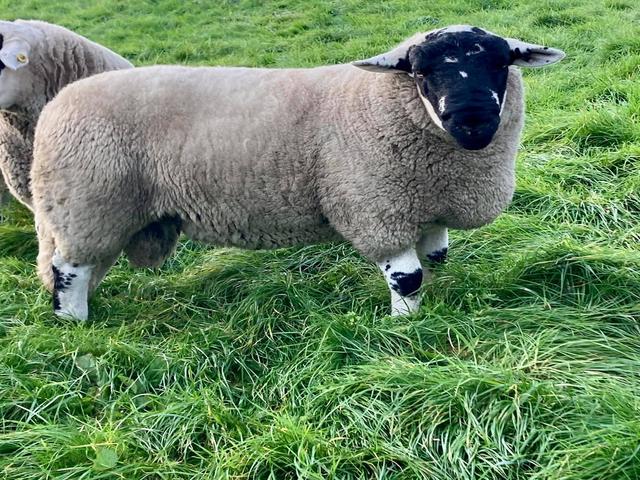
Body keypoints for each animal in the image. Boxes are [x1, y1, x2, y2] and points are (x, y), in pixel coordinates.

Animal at [31, 25, 564, 320]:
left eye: (502, 62)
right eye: (418, 71)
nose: (473, 121)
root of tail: (57, 104)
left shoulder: (426, 208)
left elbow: (435, 259)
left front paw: (438, 299)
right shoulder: (376, 208)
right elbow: (407, 277)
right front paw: (406, 328)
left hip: (102, 213)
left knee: (80, 268)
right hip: (88, 205)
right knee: (67, 270)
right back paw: (75, 324)